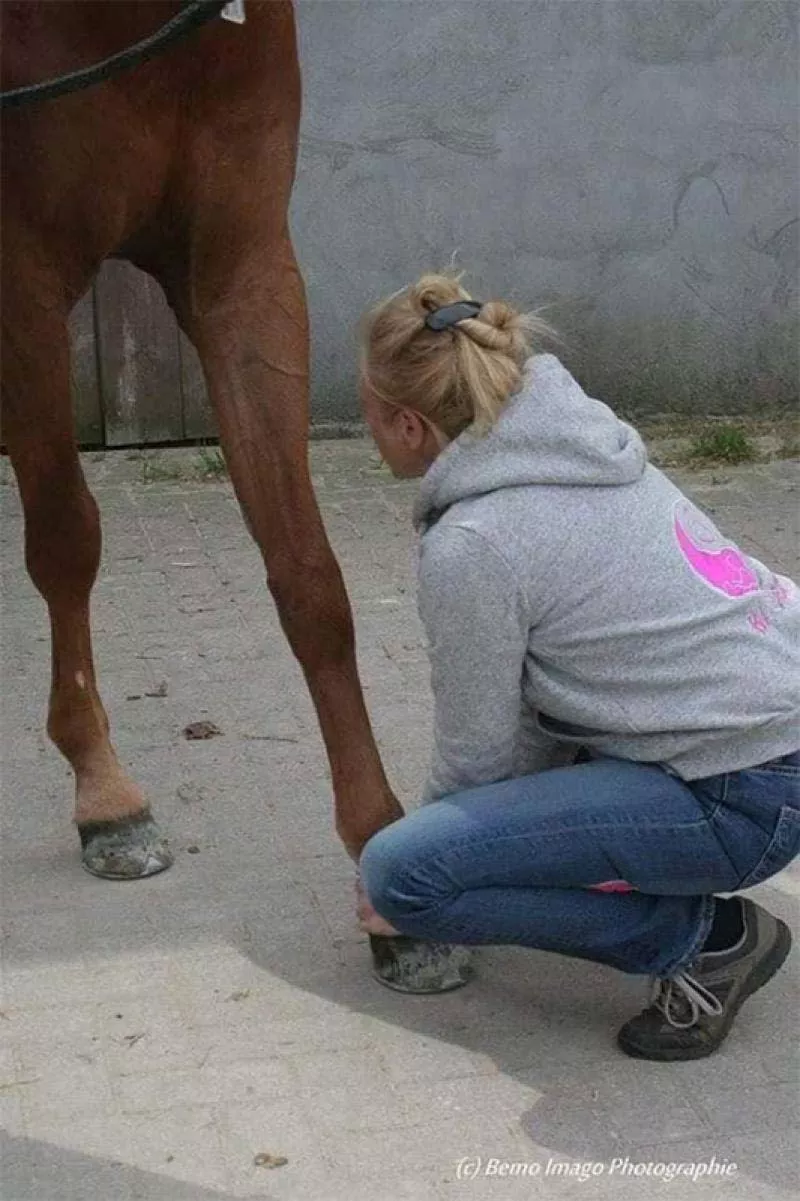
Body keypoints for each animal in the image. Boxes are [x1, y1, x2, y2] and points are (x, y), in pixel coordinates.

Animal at [0, 2, 398, 883]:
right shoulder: (20, 285)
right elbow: (66, 538)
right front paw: (106, 795)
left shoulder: (241, 271)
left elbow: (307, 572)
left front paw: (378, 841)